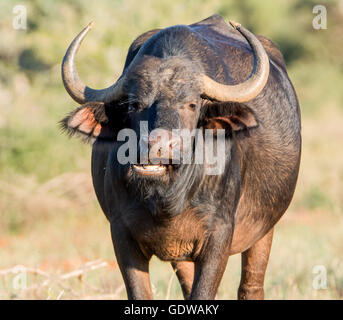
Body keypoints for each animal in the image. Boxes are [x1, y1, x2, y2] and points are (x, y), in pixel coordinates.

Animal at [61, 15, 300, 300]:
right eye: (134, 105)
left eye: (192, 104)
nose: (157, 146)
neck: (168, 198)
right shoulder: (121, 233)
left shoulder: (219, 235)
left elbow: (204, 293)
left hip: (264, 229)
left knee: (251, 286)